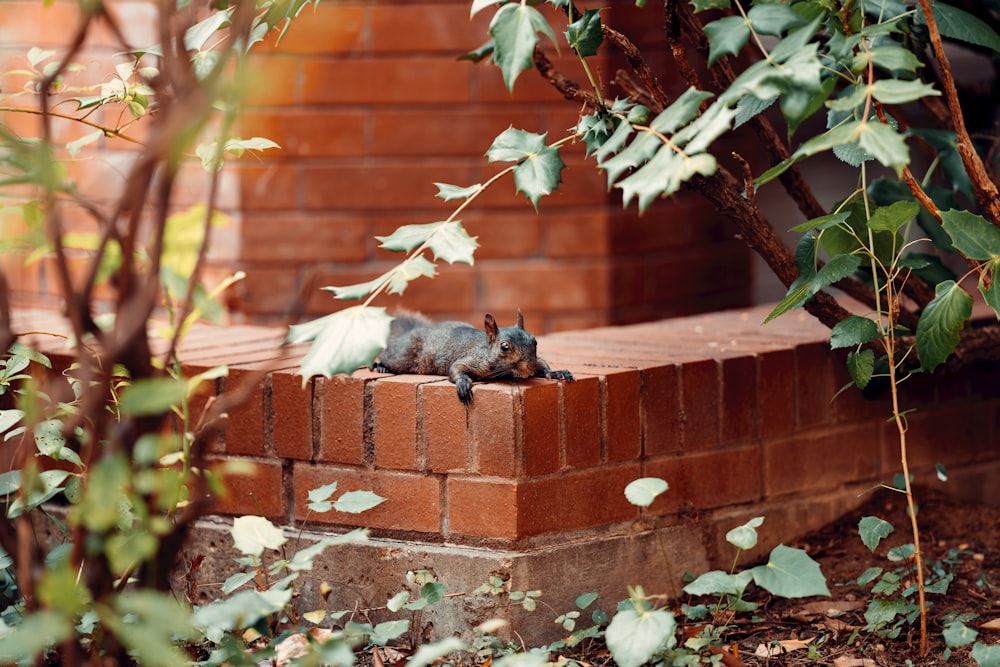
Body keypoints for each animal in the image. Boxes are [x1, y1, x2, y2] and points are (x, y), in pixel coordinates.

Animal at [374, 310, 580, 408]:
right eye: (504, 347)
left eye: (534, 341)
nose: (529, 368)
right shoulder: (470, 359)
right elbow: (455, 369)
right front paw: (464, 385)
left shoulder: (537, 360)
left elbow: (543, 364)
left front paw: (557, 372)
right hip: (402, 357)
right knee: (387, 356)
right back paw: (380, 366)